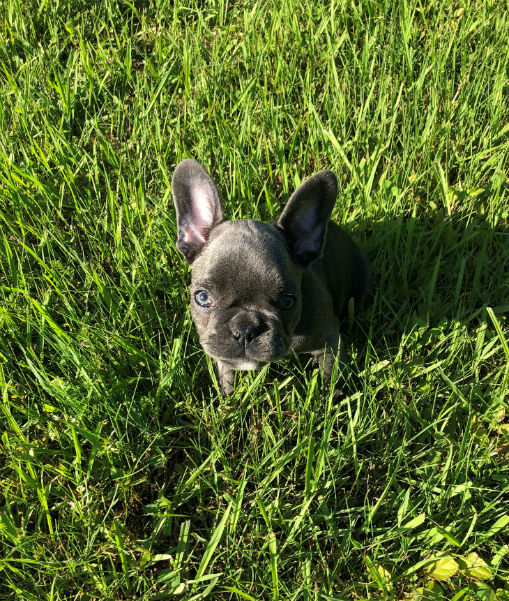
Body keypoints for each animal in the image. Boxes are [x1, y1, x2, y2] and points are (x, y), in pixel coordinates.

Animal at [172, 158, 370, 394]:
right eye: (202, 298)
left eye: (288, 302)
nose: (245, 330)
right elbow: (226, 371)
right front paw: (226, 396)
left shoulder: (329, 341)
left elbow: (333, 375)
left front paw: (336, 398)